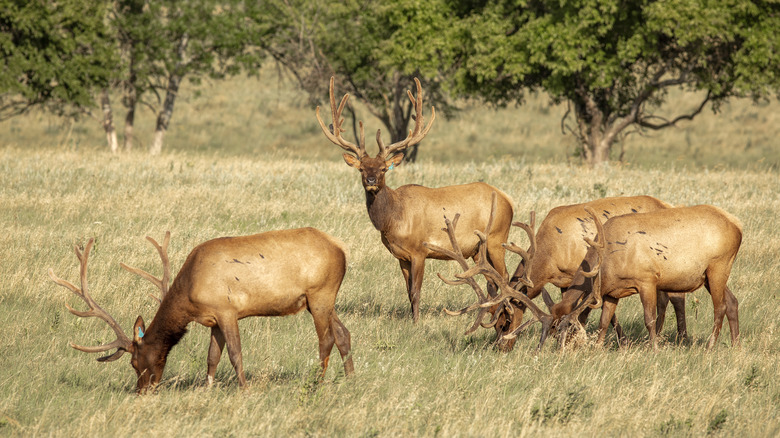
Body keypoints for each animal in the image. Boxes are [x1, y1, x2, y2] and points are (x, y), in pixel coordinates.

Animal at [49, 228, 354, 393]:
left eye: (134, 363)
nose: (142, 390)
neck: (189, 295)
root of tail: (342, 248)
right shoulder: (213, 320)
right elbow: (212, 358)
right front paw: (207, 390)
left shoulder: (227, 310)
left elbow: (235, 354)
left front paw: (244, 389)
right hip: (322, 300)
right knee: (344, 334)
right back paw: (350, 379)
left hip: (320, 294)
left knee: (326, 339)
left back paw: (316, 384)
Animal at [316, 77, 514, 322]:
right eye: (361, 168)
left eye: (383, 169)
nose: (371, 180)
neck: (394, 219)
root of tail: (508, 200)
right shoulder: (401, 256)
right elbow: (407, 291)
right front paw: (412, 318)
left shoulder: (420, 250)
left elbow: (416, 290)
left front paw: (416, 322)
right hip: (479, 249)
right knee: (492, 281)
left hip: (497, 237)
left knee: (504, 276)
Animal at [494, 196, 688, 351]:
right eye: (494, 324)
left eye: (505, 323)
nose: (500, 347)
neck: (549, 258)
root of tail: (667, 205)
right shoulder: (566, 281)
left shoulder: (587, 275)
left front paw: (621, 341)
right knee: (664, 299)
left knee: (677, 298)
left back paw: (682, 338)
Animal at [541, 205, 742, 350]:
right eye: (554, 329)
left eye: (570, 328)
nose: (561, 351)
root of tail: (738, 226)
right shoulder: (612, 292)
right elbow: (603, 322)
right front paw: (597, 349)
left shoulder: (647, 279)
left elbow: (649, 318)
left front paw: (654, 349)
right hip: (708, 275)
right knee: (732, 301)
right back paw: (736, 346)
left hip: (718, 265)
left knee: (720, 307)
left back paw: (710, 346)